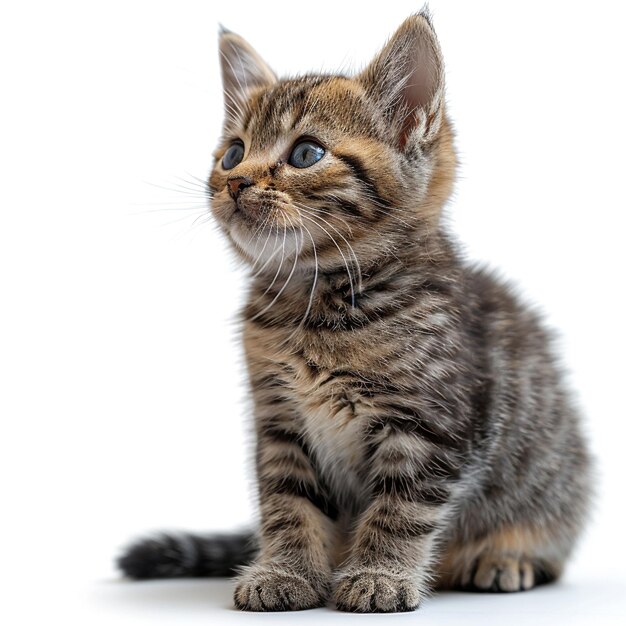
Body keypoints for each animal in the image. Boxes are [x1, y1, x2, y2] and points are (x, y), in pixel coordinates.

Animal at [117, 12, 588, 612]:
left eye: (306, 154)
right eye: (232, 153)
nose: (235, 181)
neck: (315, 305)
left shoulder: (434, 424)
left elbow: (402, 506)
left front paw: (380, 575)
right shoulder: (280, 421)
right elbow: (287, 501)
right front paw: (286, 572)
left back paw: (507, 558)